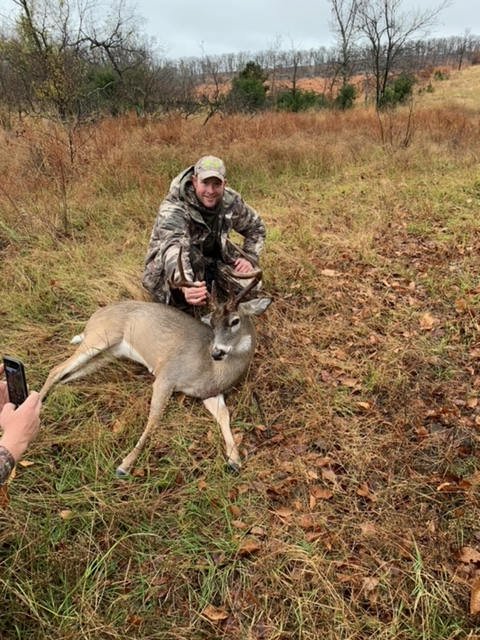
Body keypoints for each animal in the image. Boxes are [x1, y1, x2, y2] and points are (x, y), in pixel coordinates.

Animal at [38, 243, 272, 477]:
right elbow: (154, 419)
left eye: (235, 321)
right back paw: (38, 405)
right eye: (213, 324)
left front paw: (234, 460)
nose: (217, 353)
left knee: (67, 374)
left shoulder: (209, 394)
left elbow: (225, 415)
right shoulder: (166, 376)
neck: (212, 370)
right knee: (57, 368)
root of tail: (94, 316)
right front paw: (125, 465)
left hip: (108, 354)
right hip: (101, 336)